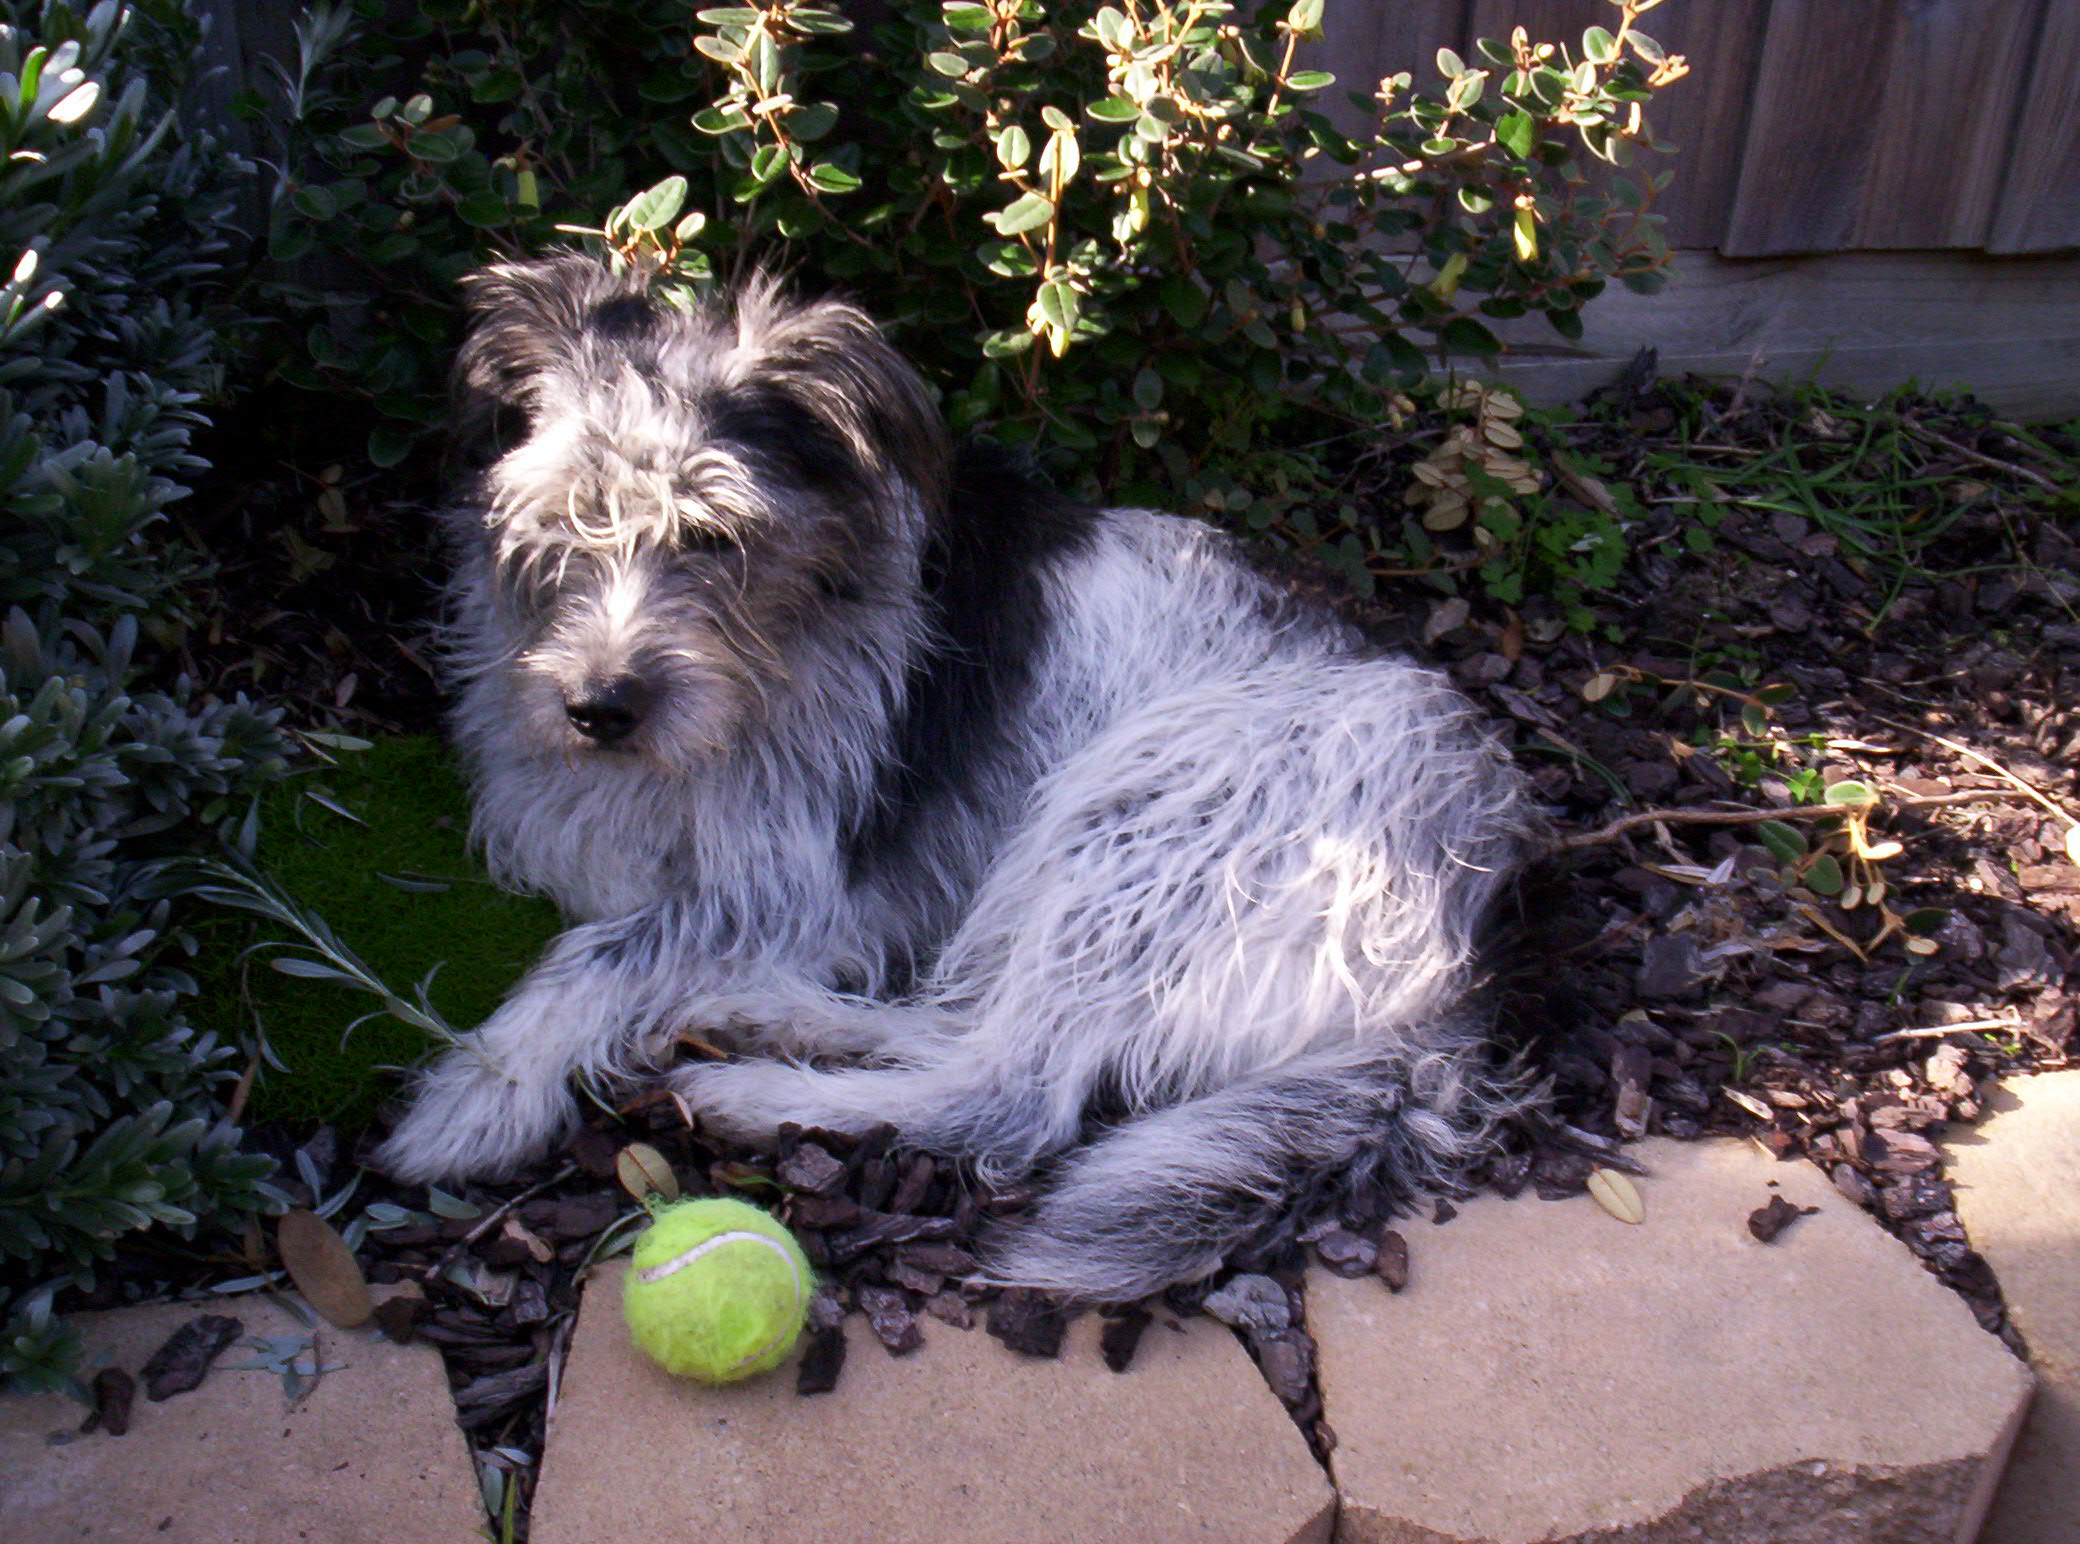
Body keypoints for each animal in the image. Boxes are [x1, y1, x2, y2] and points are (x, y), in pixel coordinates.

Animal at [374, 256, 1539, 1306]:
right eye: (565, 518)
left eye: (714, 535)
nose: (597, 706)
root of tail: (1461, 970)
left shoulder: (792, 880)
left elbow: (599, 950)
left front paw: (481, 1087)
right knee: (966, 1027)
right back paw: (773, 1014)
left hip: (1151, 810)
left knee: (1009, 1090)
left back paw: (758, 1090)